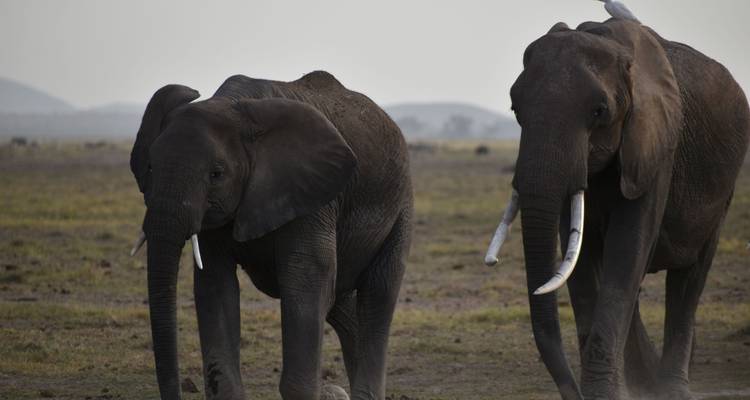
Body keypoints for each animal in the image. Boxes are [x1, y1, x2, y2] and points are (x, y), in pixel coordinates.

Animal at [129, 71, 413, 400]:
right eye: (150, 167)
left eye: (216, 174)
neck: (232, 106)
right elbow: (216, 285)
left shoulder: (312, 193)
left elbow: (304, 279)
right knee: (340, 303)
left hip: (401, 205)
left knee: (378, 291)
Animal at [484, 18, 750, 399]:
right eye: (515, 110)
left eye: (599, 112)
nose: (573, 393)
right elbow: (580, 258)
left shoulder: (656, 146)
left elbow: (627, 248)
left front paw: (604, 394)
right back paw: (644, 383)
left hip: (724, 186)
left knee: (690, 277)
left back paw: (670, 388)